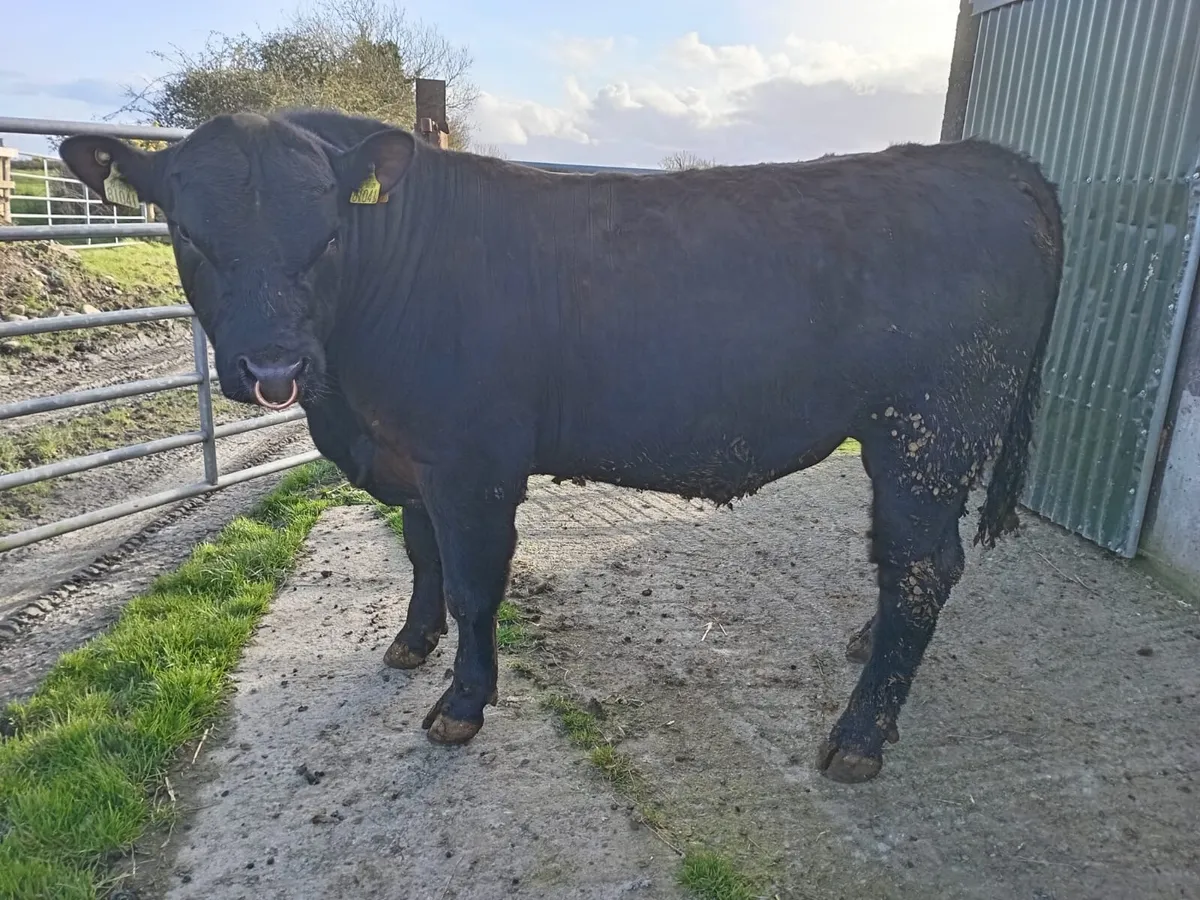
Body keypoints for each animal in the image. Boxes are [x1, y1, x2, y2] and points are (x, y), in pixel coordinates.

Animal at [60, 110, 1064, 783]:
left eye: (331, 231)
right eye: (188, 231)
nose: (274, 365)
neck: (351, 398)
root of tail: (991, 161)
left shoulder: (473, 463)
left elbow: (473, 584)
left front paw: (460, 706)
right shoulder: (413, 457)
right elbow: (420, 555)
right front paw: (410, 644)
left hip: (927, 431)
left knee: (924, 566)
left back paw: (857, 736)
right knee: (917, 566)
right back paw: (866, 648)